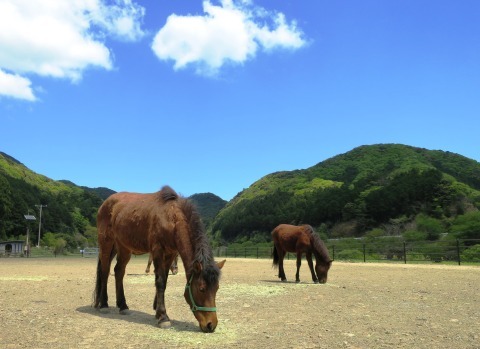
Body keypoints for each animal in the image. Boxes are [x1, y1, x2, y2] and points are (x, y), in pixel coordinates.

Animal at [95, 185, 227, 332]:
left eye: (217, 288)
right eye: (201, 288)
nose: (211, 325)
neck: (170, 218)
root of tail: (105, 204)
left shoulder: (170, 254)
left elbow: (165, 279)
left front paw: (157, 310)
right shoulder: (158, 251)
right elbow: (160, 282)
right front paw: (163, 317)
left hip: (124, 247)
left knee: (119, 271)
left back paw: (123, 306)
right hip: (106, 243)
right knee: (105, 271)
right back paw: (104, 305)